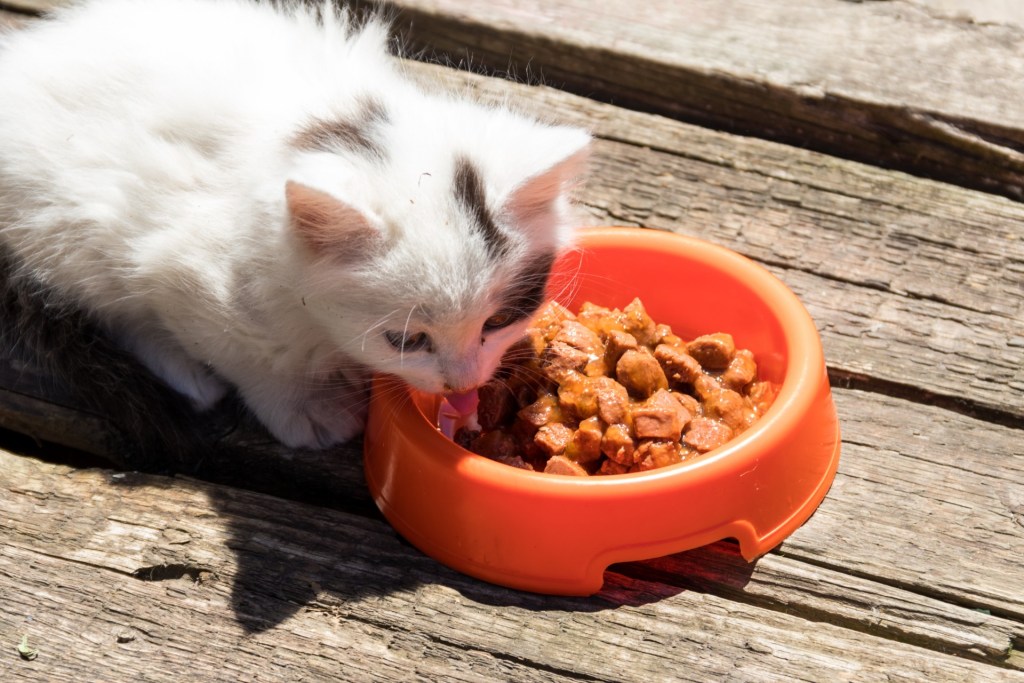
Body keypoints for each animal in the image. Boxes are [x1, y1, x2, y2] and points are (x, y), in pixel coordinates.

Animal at [0, 0, 593, 450]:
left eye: (499, 322)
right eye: (406, 340)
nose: (463, 380)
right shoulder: (181, 265)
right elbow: (242, 349)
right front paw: (304, 409)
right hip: (65, 222)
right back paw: (186, 374)